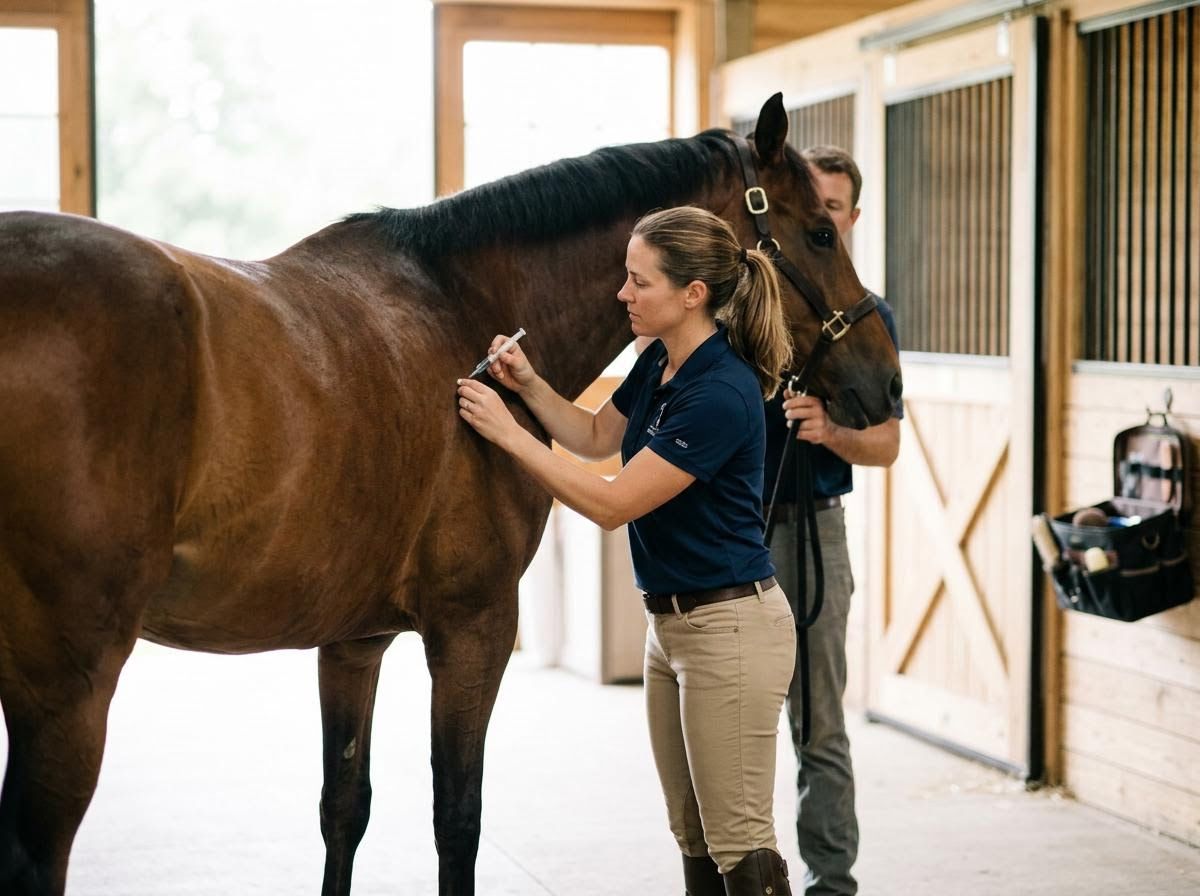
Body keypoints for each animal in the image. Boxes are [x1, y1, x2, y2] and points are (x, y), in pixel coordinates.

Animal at [0, 93, 901, 895]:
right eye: (821, 230)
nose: (887, 384)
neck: (458, 302)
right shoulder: (473, 629)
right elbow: (457, 819)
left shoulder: (352, 642)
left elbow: (344, 810)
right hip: (67, 685)